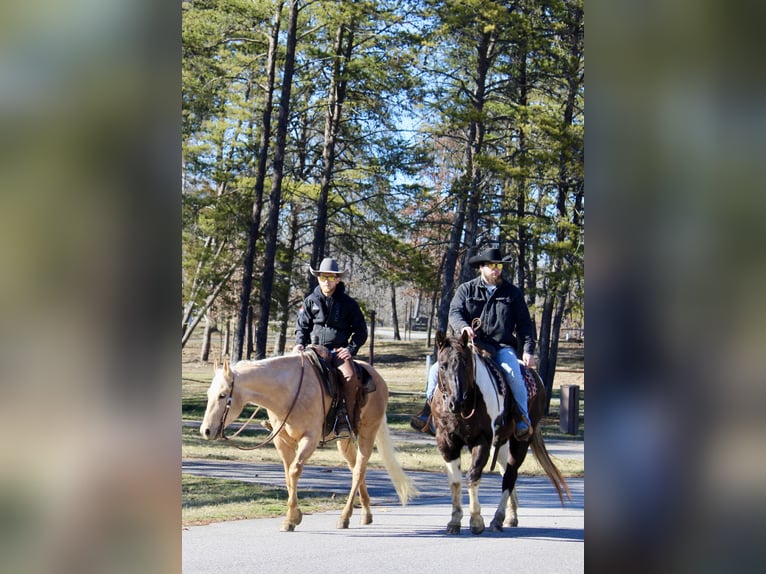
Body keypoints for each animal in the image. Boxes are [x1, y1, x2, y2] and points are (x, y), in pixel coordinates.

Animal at [196, 354, 414, 532]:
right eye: (208, 394)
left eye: (223, 395)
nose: (206, 431)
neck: (288, 392)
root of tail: (377, 377)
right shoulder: (282, 441)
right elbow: (287, 475)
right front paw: (294, 516)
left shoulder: (310, 438)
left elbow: (294, 471)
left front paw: (291, 519)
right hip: (344, 440)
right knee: (354, 468)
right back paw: (365, 513)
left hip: (368, 431)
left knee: (359, 470)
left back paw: (344, 517)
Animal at [432, 330, 568, 536]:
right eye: (442, 365)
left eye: (466, 363)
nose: (457, 402)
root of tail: (535, 375)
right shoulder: (447, 442)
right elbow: (455, 482)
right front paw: (454, 521)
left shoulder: (482, 440)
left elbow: (473, 475)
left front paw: (476, 520)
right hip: (503, 442)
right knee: (506, 471)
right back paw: (511, 516)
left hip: (520, 442)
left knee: (510, 476)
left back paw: (498, 518)